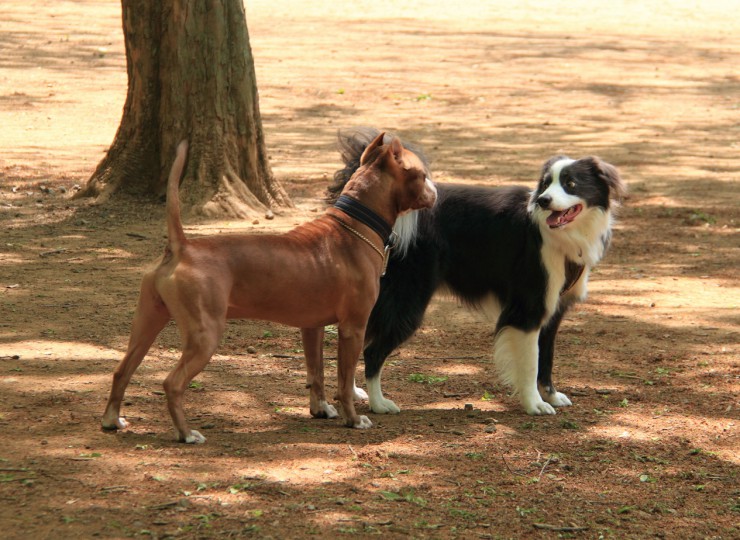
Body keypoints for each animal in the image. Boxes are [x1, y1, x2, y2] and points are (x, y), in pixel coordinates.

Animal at [101, 133, 437, 443]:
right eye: (422, 175)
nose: (436, 191)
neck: (355, 226)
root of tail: (181, 247)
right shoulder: (353, 328)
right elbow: (344, 382)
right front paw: (352, 419)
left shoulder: (311, 327)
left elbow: (316, 373)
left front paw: (320, 409)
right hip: (204, 335)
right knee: (172, 383)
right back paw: (186, 434)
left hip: (146, 325)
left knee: (121, 371)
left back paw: (112, 420)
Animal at [329, 128, 625, 416]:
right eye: (545, 184)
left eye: (570, 184)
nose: (543, 200)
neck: (558, 235)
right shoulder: (527, 308)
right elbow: (531, 364)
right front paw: (535, 404)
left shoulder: (553, 310)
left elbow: (547, 358)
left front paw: (551, 396)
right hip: (407, 302)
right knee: (372, 352)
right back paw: (379, 404)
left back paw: (353, 392)